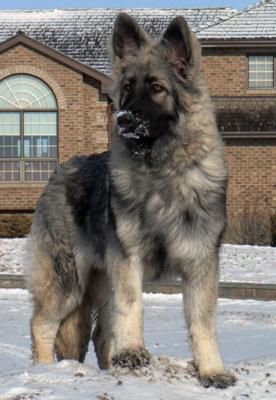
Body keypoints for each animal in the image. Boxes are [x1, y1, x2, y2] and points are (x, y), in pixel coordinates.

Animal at [26, 12, 235, 388]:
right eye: (126, 88)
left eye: (156, 88)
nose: (122, 119)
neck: (162, 172)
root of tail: (57, 174)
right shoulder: (128, 258)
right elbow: (132, 305)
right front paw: (133, 351)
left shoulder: (200, 261)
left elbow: (203, 322)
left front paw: (212, 370)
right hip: (68, 280)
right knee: (42, 324)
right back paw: (48, 370)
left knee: (99, 334)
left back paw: (112, 364)